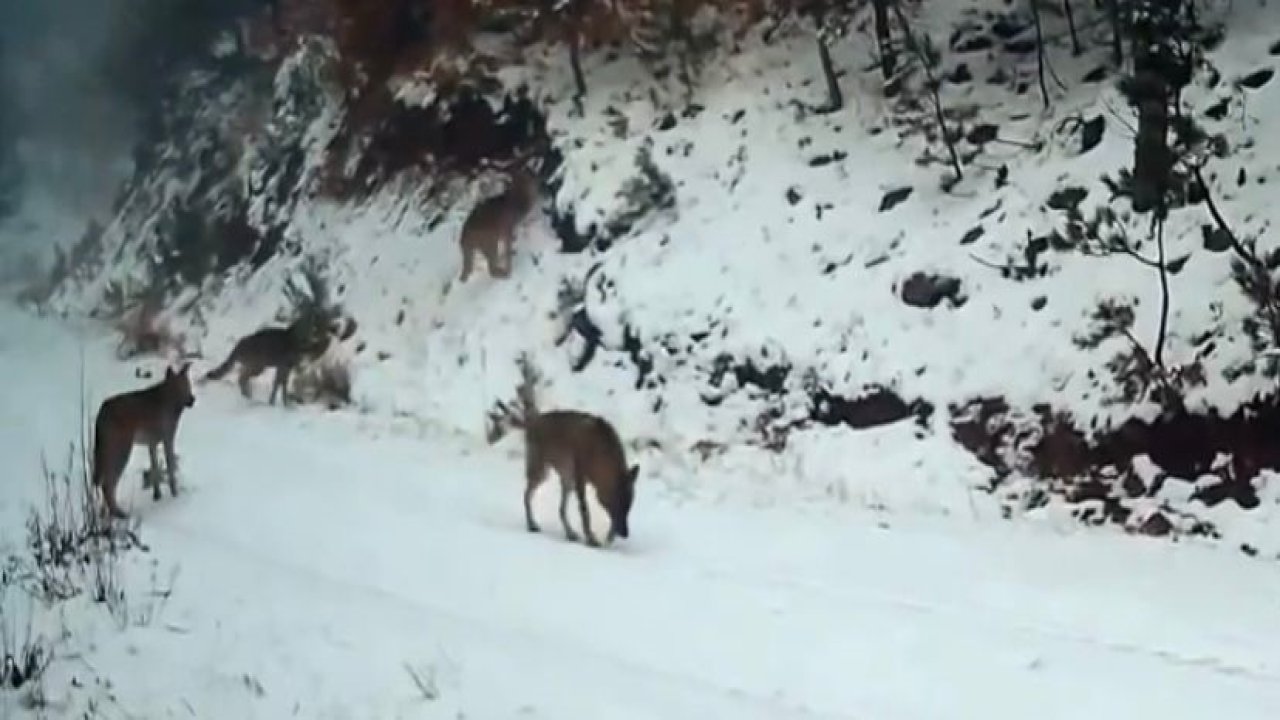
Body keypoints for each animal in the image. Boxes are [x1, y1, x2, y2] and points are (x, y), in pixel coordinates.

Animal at [92, 361, 195, 517]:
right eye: (180, 386)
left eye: (188, 384)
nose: (192, 400)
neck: (171, 403)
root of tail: (101, 413)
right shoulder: (168, 437)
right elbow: (170, 467)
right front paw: (175, 494)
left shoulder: (152, 443)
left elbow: (155, 469)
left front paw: (157, 496)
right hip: (122, 448)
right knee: (108, 484)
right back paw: (119, 513)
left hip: (105, 450)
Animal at [486, 351, 637, 543]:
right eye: (618, 504)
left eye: (629, 506)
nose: (625, 534)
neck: (600, 454)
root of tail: (532, 422)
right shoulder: (580, 476)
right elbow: (585, 511)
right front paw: (592, 538)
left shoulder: (583, 481)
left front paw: (606, 538)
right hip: (541, 471)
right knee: (527, 495)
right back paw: (532, 524)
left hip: (565, 478)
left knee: (560, 509)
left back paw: (570, 533)